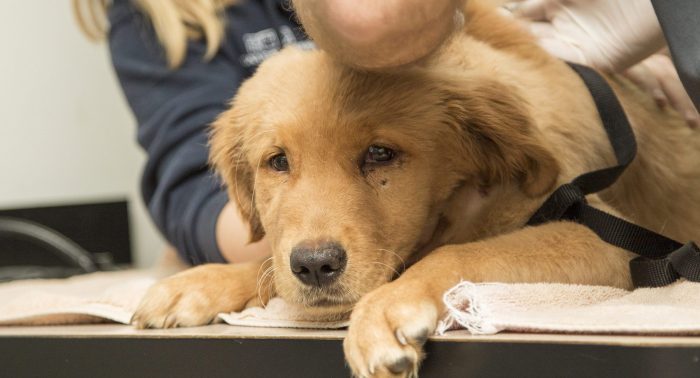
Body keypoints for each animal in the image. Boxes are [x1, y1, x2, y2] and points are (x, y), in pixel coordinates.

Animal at [133, 0, 700, 376]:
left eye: (380, 154)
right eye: (277, 162)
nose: (315, 266)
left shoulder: (603, 233)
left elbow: (462, 254)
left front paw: (387, 307)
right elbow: (268, 259)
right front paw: (199, 283)